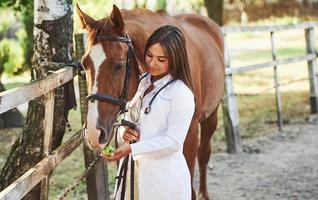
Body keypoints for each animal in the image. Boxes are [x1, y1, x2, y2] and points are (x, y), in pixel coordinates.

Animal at [76, 3, 225, 199]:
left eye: (119, 64)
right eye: (84, 64)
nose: (93, 133)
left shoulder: (190, 132)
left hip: (211, 115)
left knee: (204, 153)